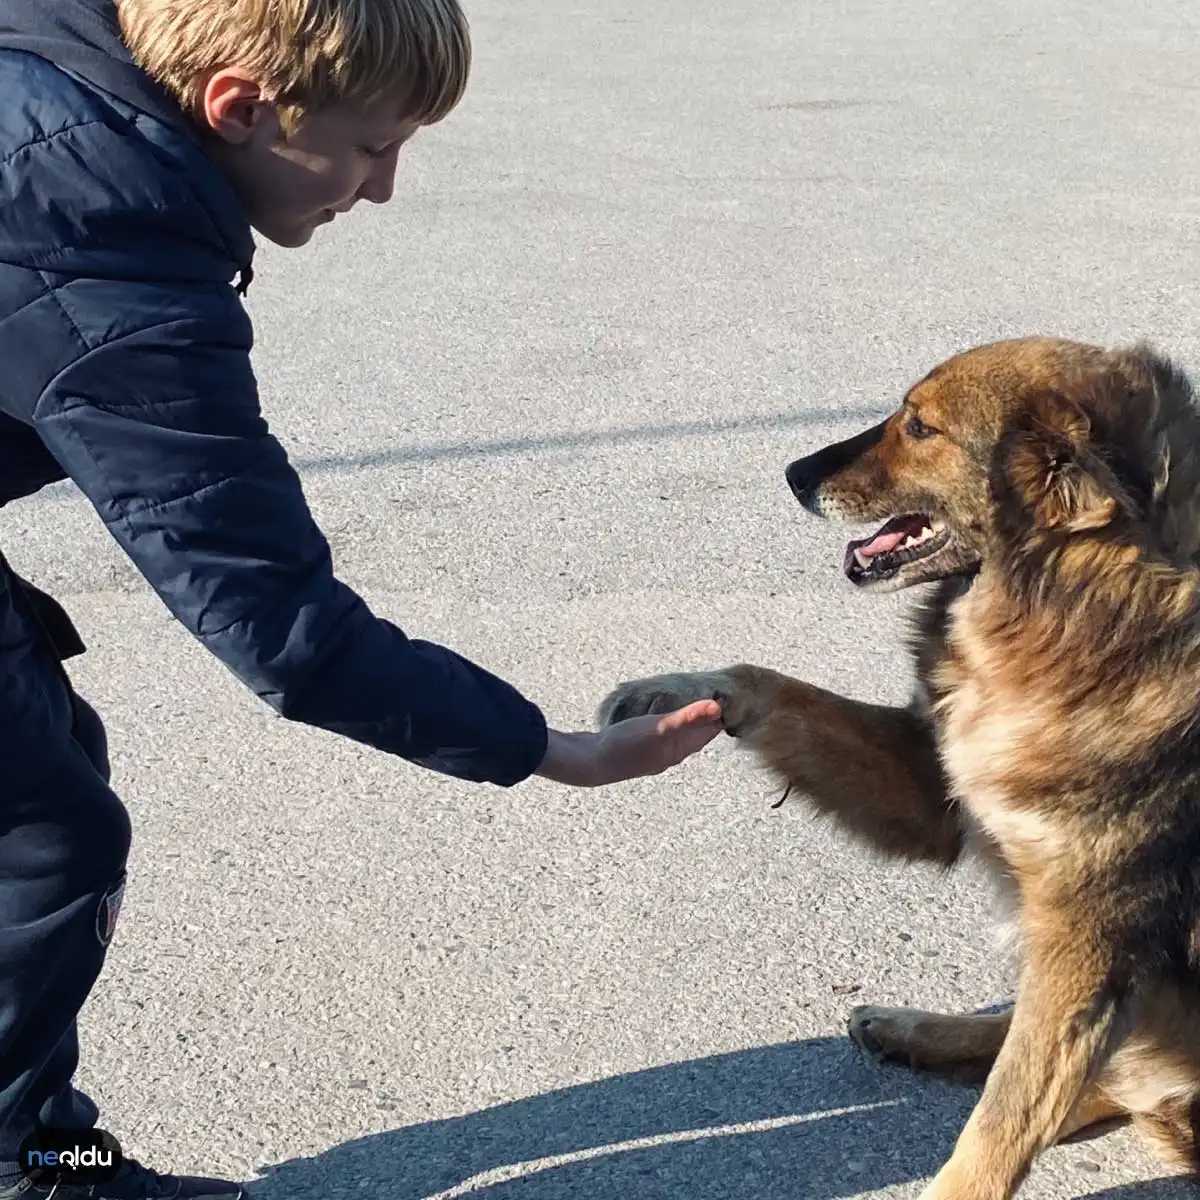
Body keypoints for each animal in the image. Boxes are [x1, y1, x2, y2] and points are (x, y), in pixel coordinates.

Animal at [600, 338, 1200, 1200]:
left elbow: (1006, 1116)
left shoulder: (1091, 936)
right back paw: (911, 1029)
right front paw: (676, 692)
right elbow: (775, 689)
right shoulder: (936, 789)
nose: (794, 474)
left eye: (921, 427)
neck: (1078, 598)